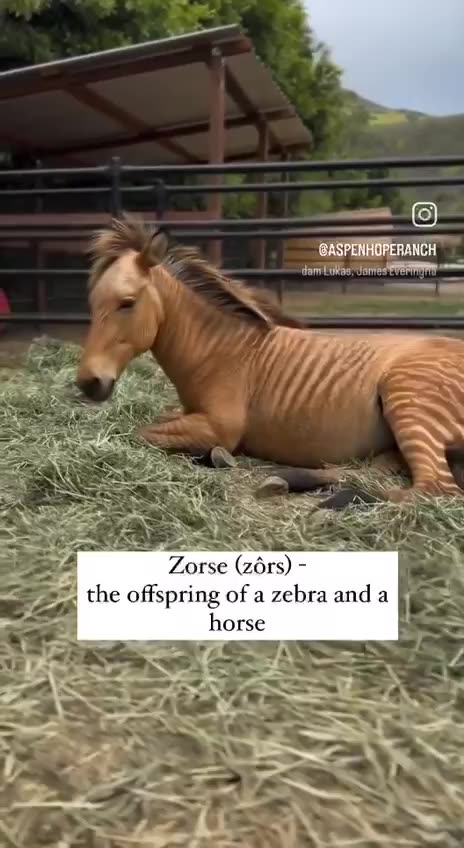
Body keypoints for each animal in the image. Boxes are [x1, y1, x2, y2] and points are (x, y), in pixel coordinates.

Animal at [76, 215, 464, 508]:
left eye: (127, 303)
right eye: (92, 303)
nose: (87, 383)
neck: (220, 351)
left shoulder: (220, 426)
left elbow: (141, 433)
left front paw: (215, 456)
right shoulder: (192, 415)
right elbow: (161, 424)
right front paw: (215, 457)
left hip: (410, 404)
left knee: (434, 488)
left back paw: (339, 499)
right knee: (377, 468)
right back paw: (286, 479)